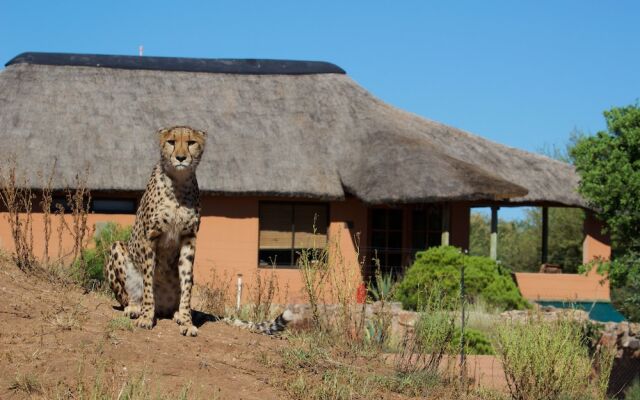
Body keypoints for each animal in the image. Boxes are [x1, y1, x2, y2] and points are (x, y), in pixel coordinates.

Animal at [105, 126, 205, 338]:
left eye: (191, 142)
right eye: (171, 142)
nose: (181, 158)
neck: (178, 184)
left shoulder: (189, 238)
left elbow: (186, 285)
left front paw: (187, 321)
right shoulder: (150, 236)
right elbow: (148, 281)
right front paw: (146, 317)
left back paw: (176, 314)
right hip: (117, 248)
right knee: (127, 296)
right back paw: (135, 308)